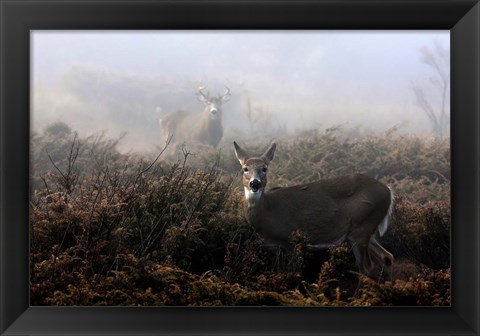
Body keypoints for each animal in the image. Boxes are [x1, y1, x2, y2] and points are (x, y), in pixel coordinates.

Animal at [232, 142, 394, 286]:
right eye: (245, 168)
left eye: (264, 168)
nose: (255, 183)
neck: (268, 214)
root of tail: (388, 191)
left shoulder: (293, 242)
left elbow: (293, 276)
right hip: (363, 230)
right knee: (387, 256)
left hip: (362, 227)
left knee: (367, 268)